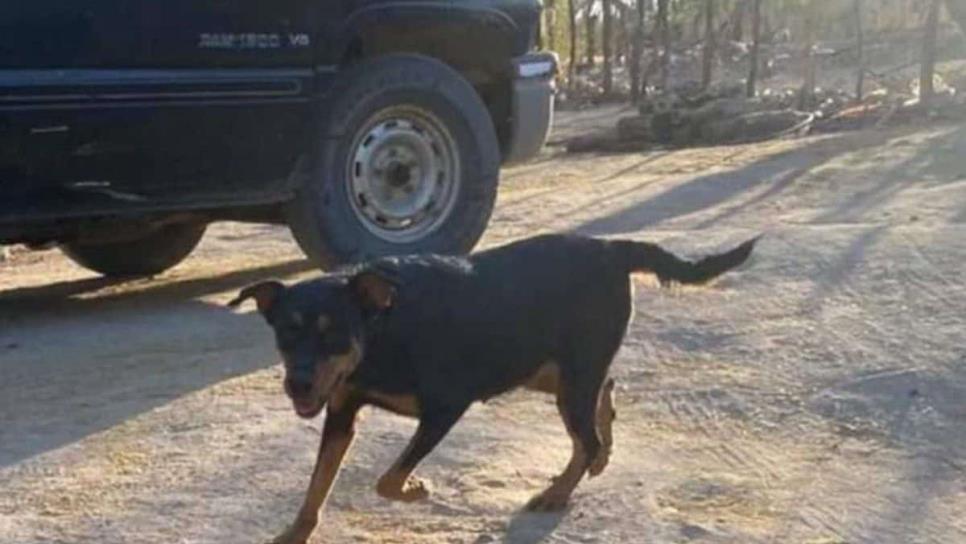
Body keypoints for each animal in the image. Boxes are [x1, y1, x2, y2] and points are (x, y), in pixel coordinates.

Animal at [231, 234, 760, 544]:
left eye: (333, 334)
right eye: (286, 334)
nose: (297, 384)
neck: (382, 328)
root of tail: (611, 248)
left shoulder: (445, 407)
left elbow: (388, 479)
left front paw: (416, 490)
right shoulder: (340, 411)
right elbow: (317, 484)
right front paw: (296, 532)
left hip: (568, 379)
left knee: (584, 438)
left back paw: (558, 491)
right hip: (549, 371)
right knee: (604, 395)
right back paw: (599, 455)